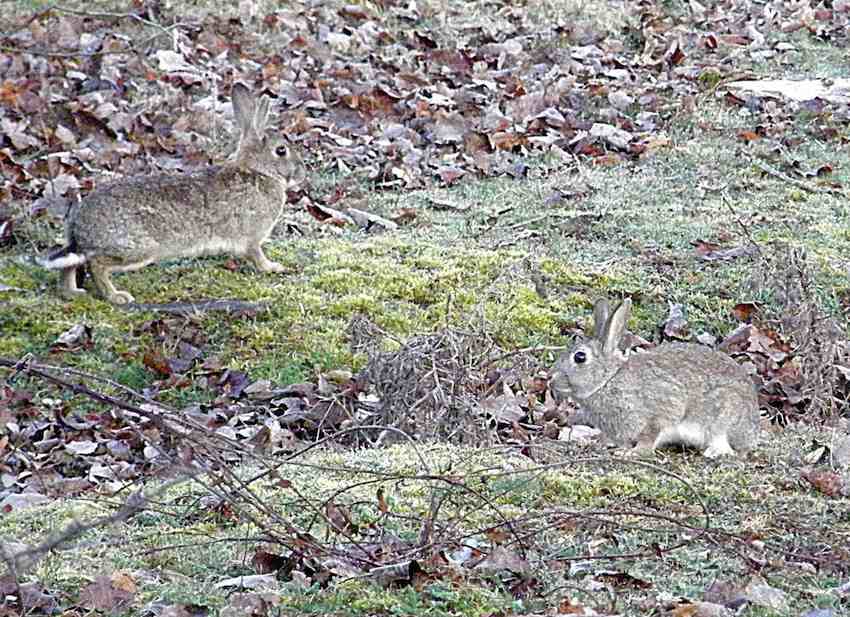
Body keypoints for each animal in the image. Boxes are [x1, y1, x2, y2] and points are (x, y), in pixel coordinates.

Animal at [40, 82, 304, 304]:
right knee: (96, 264)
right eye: (281, 150)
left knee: (70, 265)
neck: (258, 171)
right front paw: (273, 267)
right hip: (136, 249)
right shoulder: (252, 238)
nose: (301, 173)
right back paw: (117, 296)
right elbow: (257, 256)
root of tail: (80, 228)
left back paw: (72, 293)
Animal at [548, 298, 760, 458]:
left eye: (580, 357)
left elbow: (651, 435)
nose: (550, 379)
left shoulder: (660, 410)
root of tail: (753, 427)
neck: (608, 380)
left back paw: (714, 452)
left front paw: (631, 453)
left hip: (724, 416)